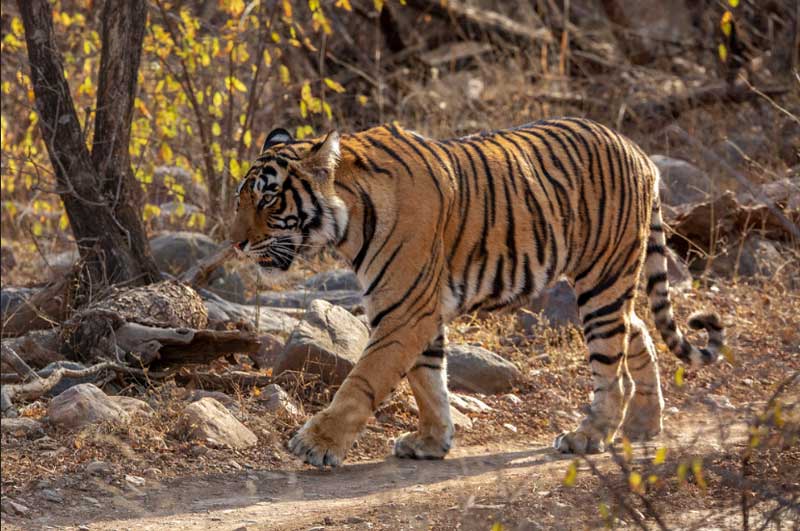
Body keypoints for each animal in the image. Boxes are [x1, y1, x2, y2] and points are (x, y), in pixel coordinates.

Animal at [230, 118, 724, 468]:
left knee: (612, 365)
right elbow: (428, 380)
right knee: (637, 330)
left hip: (602, 280)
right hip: (605, 281)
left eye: (269, 199)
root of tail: (640, 152)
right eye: (241, 198)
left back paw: (588, 435)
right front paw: (432, 441)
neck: (348, 221)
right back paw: (644, 424)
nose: (235, 243)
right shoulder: (418, 307)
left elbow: (364, 380)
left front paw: (316, 444)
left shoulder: (404, 309)